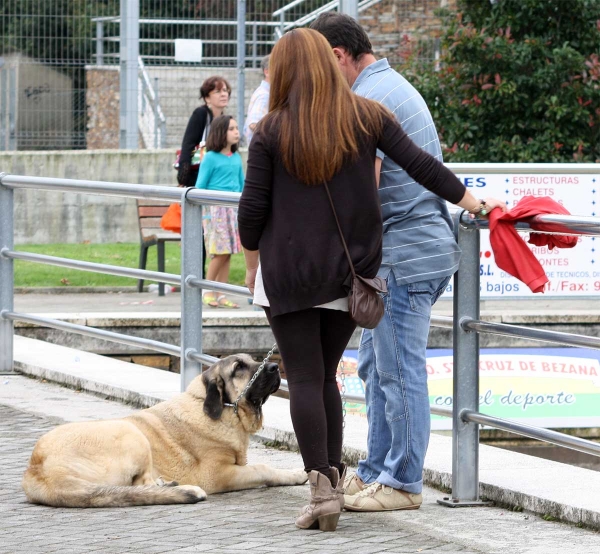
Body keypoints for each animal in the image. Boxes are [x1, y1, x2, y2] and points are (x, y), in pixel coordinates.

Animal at [21, 354, 308, 504]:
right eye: (239, 368)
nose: (274, 367)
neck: (226, 411)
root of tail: (38, 471)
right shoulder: (218, 474)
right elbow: (262, 469)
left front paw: (294, 474)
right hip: (132, 433)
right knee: (140, 484)